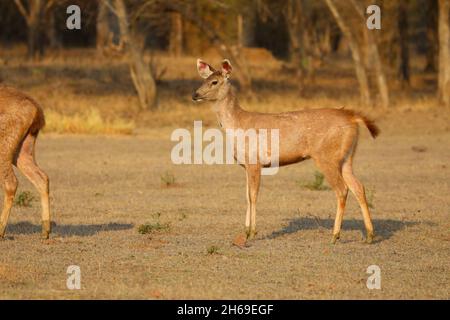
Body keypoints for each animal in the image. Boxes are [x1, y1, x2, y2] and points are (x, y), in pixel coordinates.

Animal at [0, 86, 51, 239]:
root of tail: (36, 110)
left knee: (11, 183)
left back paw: (1, 231)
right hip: (21, 151)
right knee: (42, 177)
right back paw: (45, 231)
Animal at [192, 58, 378, 244]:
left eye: (214, 82)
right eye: (204, 80)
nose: (195, 94)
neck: (238, 124)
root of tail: (353, 118)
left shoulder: (255, 161)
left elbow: (253, 195)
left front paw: (252, 233)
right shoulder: (245, 165)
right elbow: (246, 196)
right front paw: (245, 231)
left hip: (326, 156)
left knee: (342, 189)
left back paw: (334, 236)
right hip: (346, 157)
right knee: (358, 187)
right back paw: (369, 236)